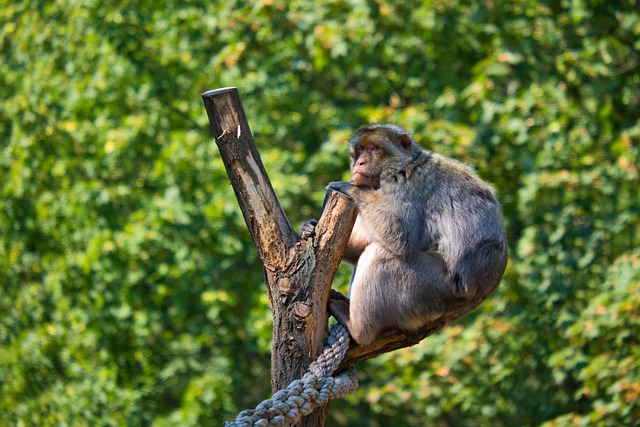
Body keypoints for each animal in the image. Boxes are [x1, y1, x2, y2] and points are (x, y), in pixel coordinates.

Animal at [318, 123, 508, 348]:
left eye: (373, 149)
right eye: (360, 150)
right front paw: (309, 228)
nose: (360, 162)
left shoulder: (406, 186)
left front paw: (351, 188)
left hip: (433, 291)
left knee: (380, 255)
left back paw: (357, 328)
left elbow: (400, 236)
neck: (405, 164)